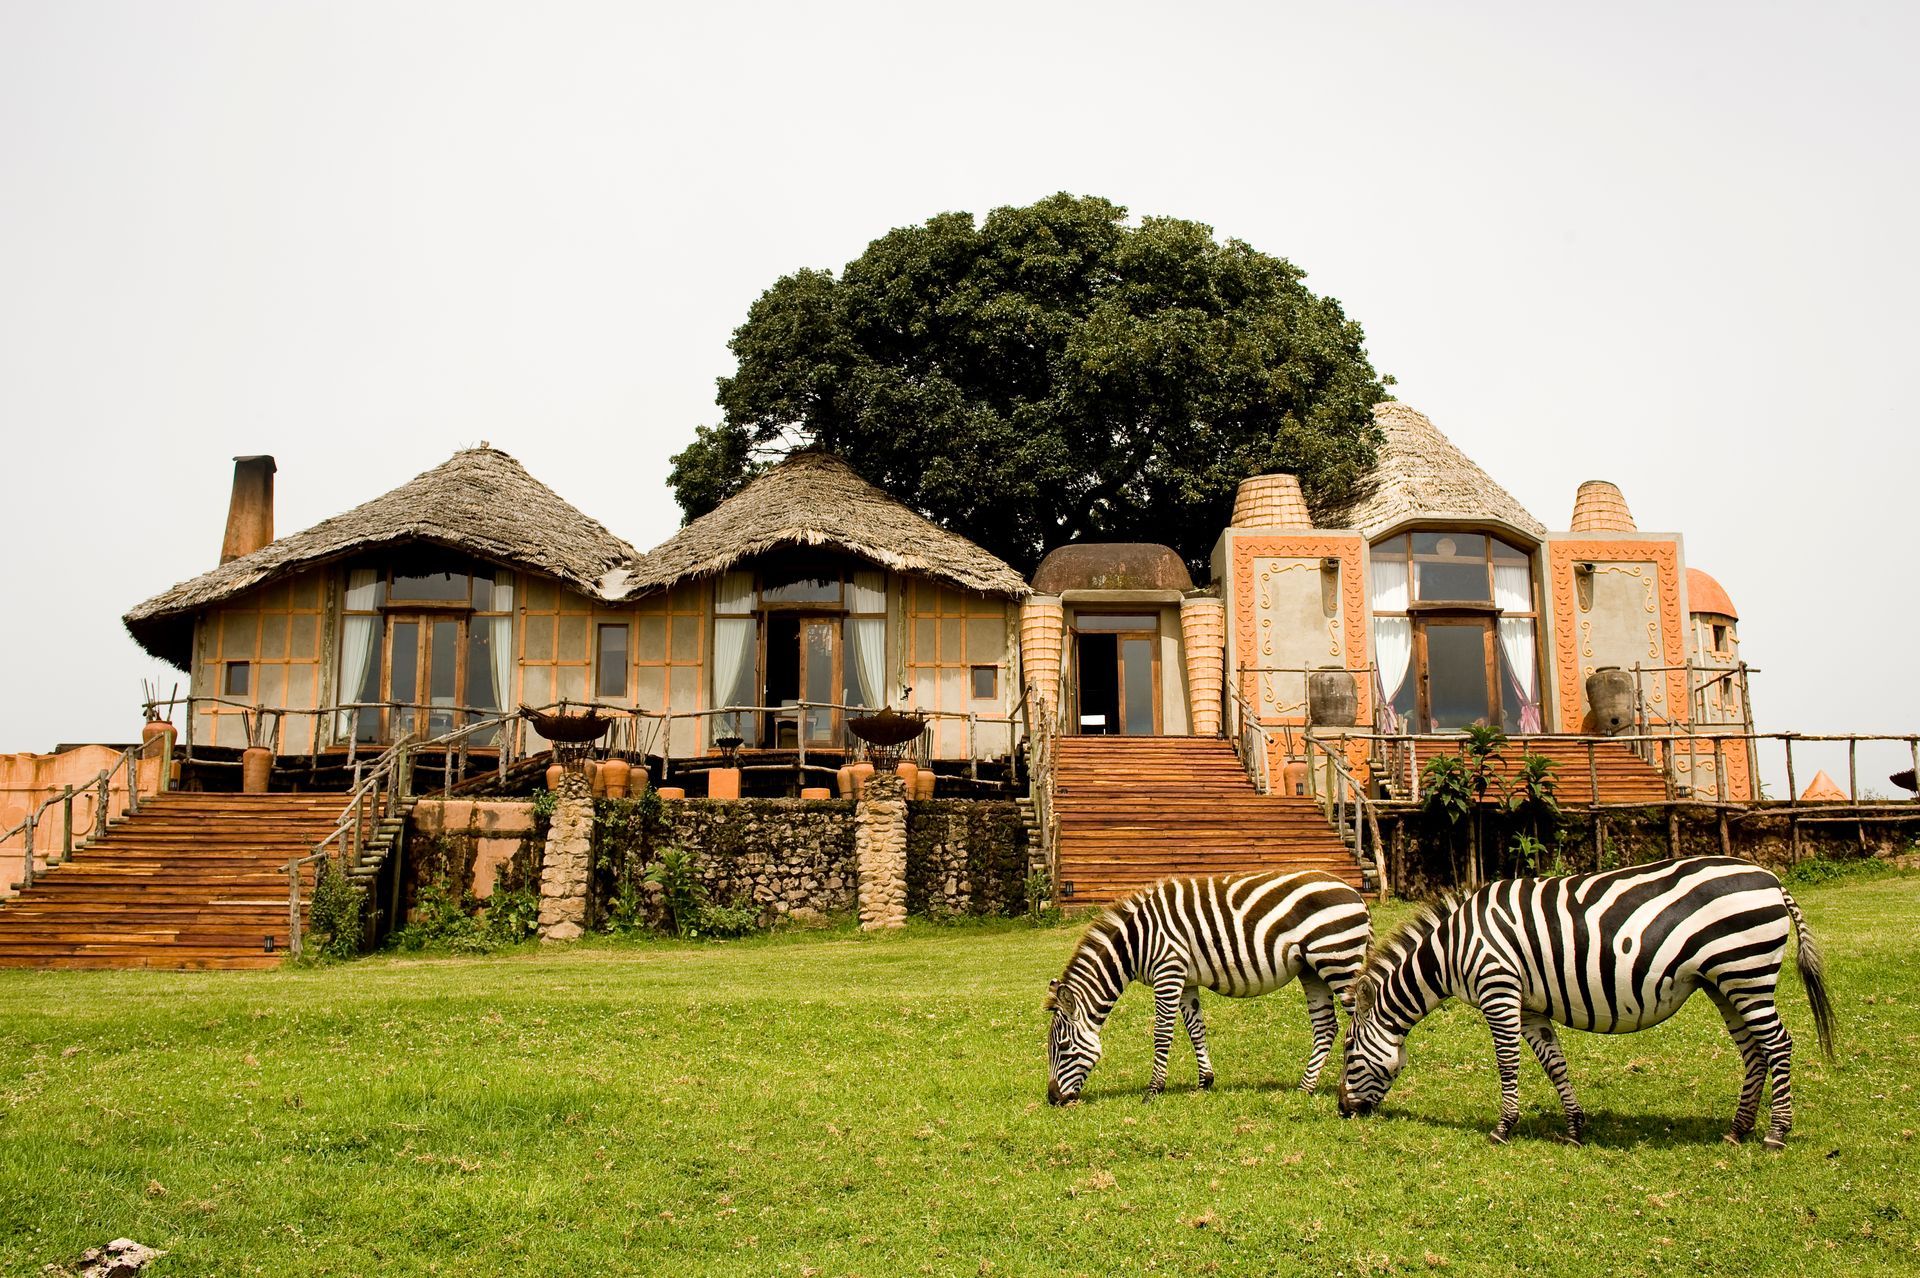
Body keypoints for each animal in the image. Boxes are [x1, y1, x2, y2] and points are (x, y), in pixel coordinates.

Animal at [1044, 871, 1374, 1097]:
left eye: (1062, 1047)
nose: (1053, 1099)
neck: (1135, 942)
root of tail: (1354, 893)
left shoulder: (1168, 971)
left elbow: (1162, 1034)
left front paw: (1154, 1089)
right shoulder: (1185, 980)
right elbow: (1196, 1030)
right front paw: (1205, 1082)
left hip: (1339, 961)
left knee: (1362, 1020)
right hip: (1312, 970)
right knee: (1326, 1027)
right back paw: (1306, 1087)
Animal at [1336, 855, 1827, 1143]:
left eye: (1349, 1050)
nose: (1342, 1111)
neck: (1451, 949)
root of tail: (1771, 879)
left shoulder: (1499, 989)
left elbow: (1507, 1063)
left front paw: (1502, 1128)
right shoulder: (1529, 1005)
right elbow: (1554, 1063)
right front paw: (1574, 1128)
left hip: (1746, 971)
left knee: (1778, 1044)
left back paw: (1777, 1133)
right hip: (1725, 982)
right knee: (1755, 1051)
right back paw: (1738, 1130)